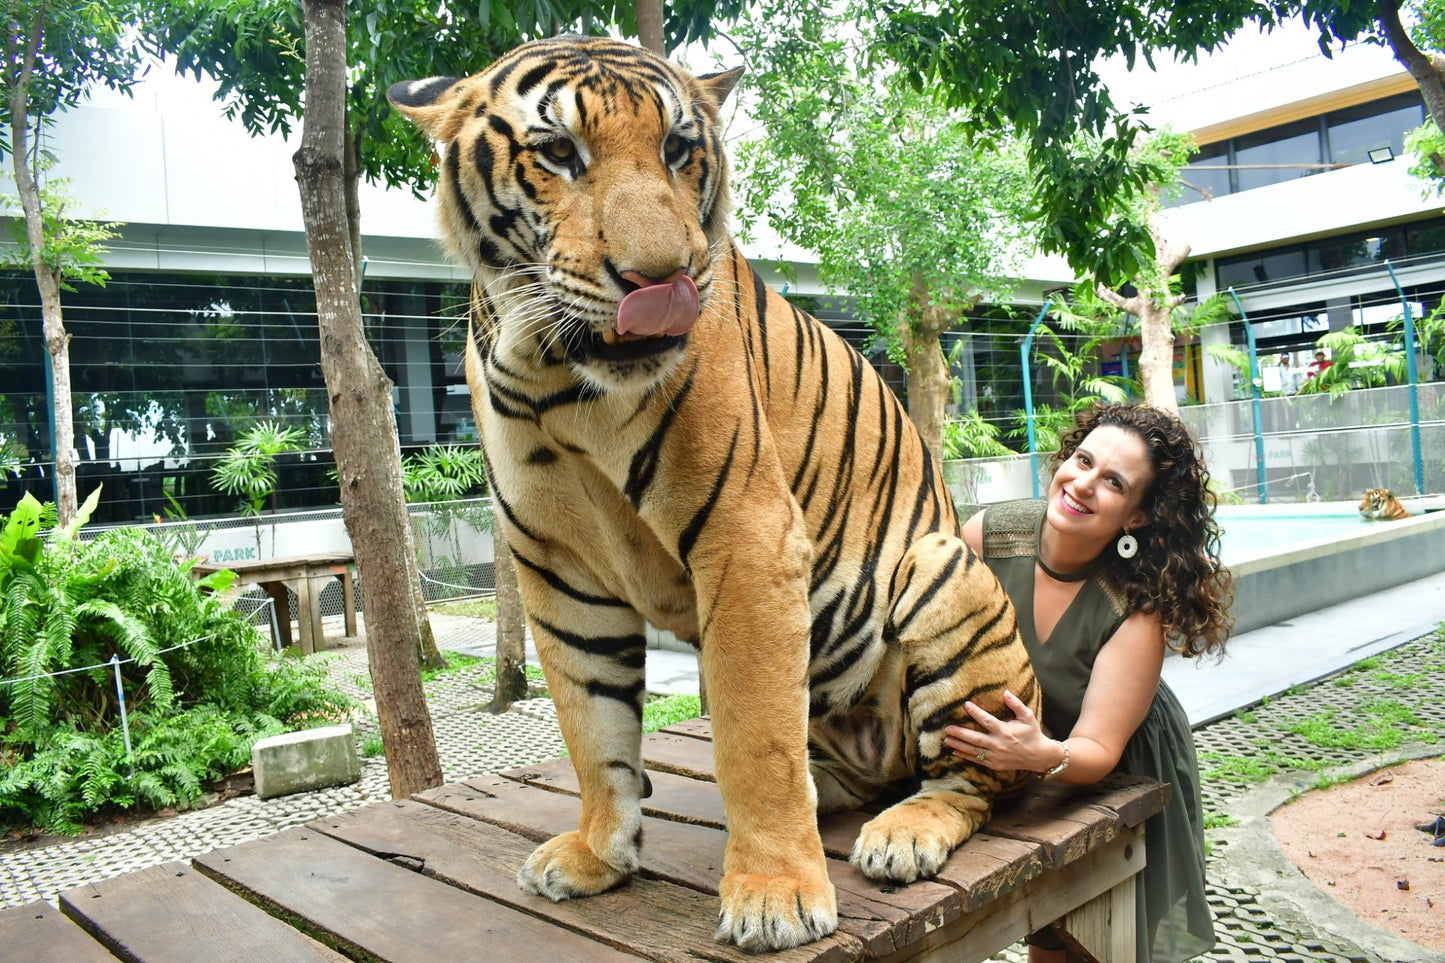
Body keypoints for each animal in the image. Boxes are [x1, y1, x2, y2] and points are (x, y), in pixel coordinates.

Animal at [388, 35, 1038, 952]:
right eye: (558, 152)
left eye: (676, 148)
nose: (660, 276)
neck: (552, 372)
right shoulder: (556, 568)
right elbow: (592, 726)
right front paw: (598, 851)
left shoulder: (747, 537)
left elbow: (749, 733)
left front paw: (773, 895)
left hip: (944, 575)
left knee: (973, 776)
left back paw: (902, 833)